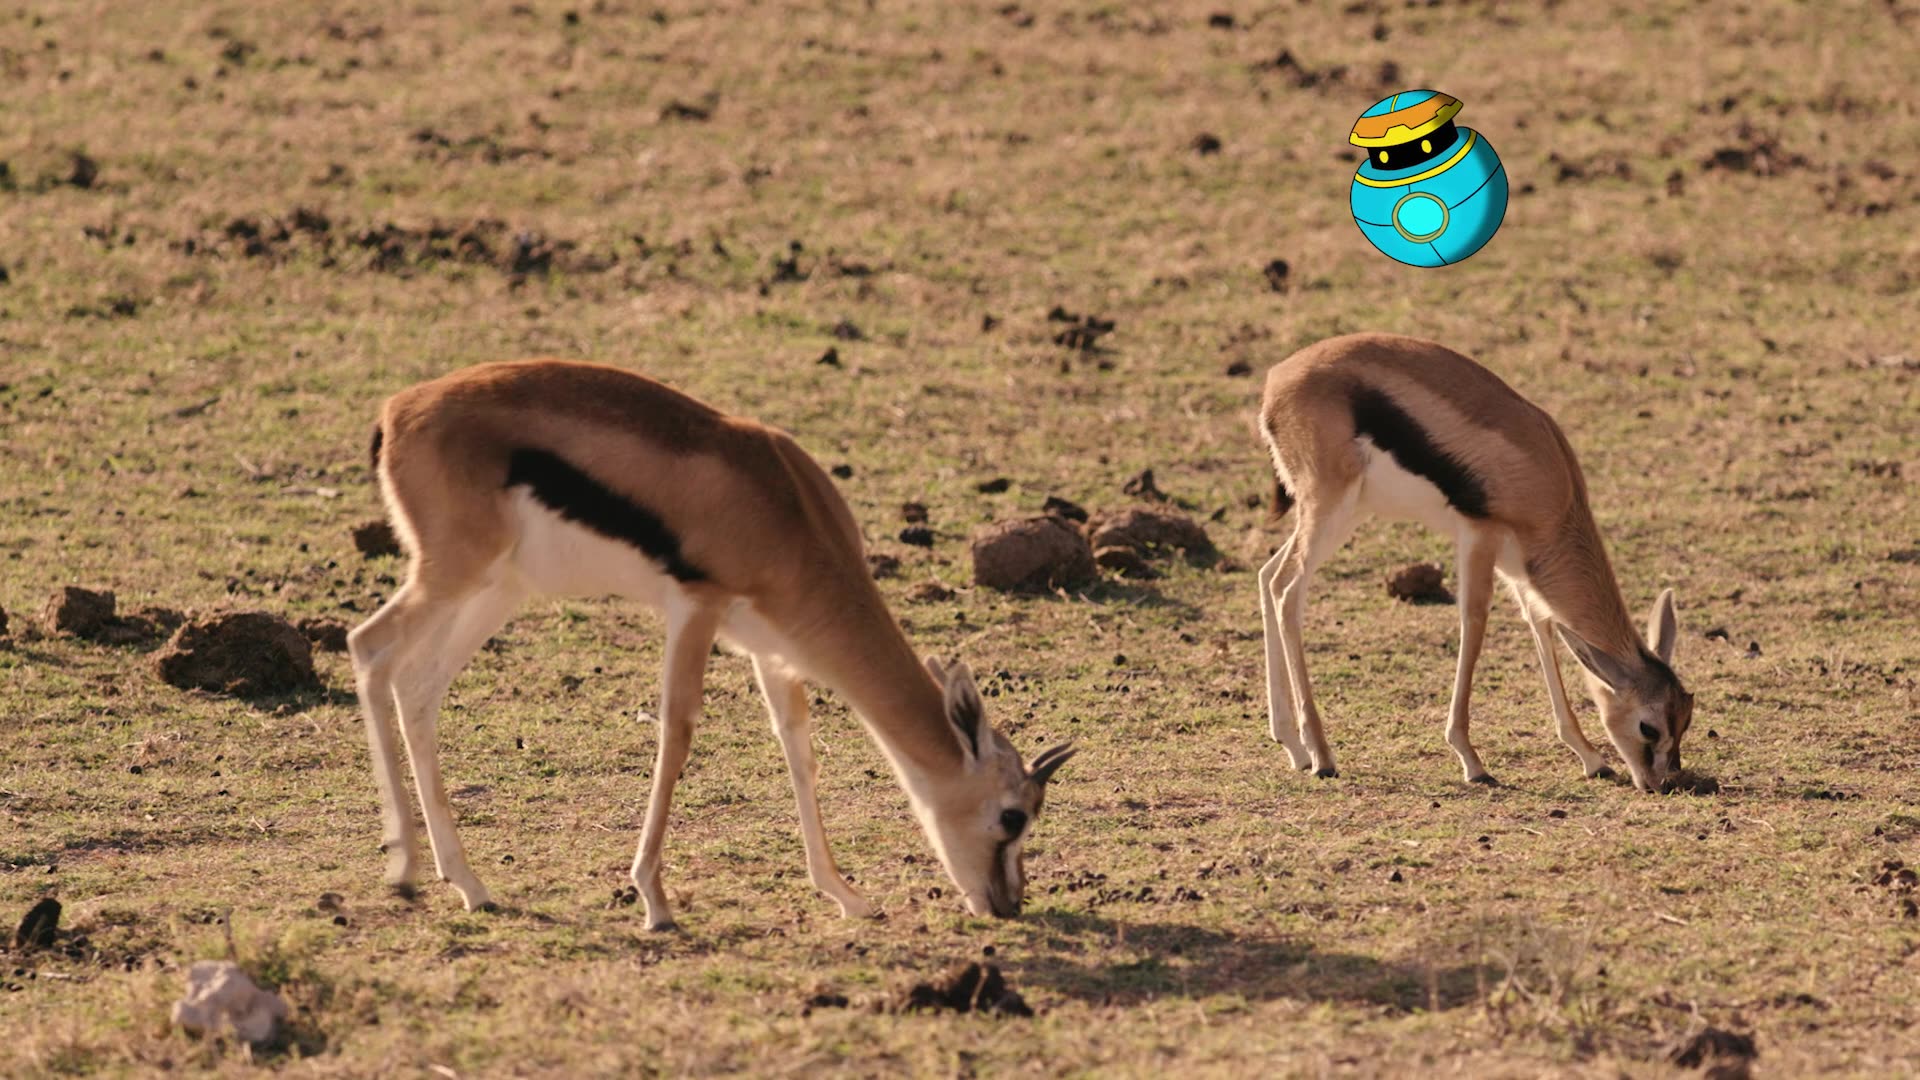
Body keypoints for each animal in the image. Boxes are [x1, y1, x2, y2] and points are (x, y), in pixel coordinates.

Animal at [348, 360, 1075, 929]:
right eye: (1013, 816)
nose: (1009, 902)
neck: (789, 513)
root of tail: (397, 410)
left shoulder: (773, 650)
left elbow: (798, 748)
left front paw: (845, 894)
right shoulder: (698, 607)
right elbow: (677, 732)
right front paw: (655, 901)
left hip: (497, 589)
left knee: (420, 687)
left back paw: (469, 884)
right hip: (451, 574)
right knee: (368, 646)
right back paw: (405, 870)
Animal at [1256, 333, 1694, 792]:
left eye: (1685, 719)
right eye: (1649, 727)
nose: (1661, 783)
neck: (1552, 489)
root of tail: (1276, 379)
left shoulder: (1520, 570)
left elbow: (1542, 626)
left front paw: (1591, 757)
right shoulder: (1479, 538)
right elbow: (1475, 622)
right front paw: (1473, 761)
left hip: (1345, 513)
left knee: (1268, 576)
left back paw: (1294, 747)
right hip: (1330, 506)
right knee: (1288, 590)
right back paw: (1322, 756)